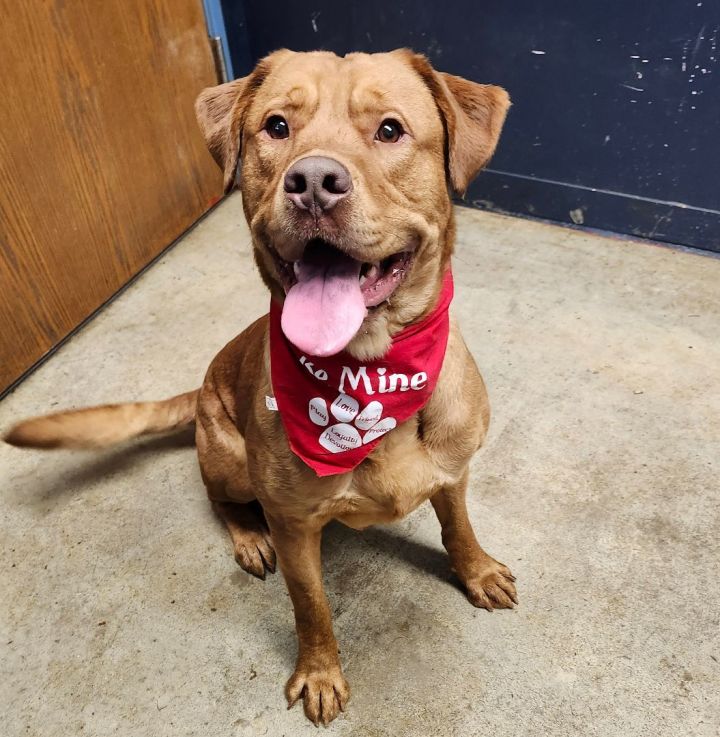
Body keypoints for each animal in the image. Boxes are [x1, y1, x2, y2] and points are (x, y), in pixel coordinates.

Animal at [2, 50, 516, 724]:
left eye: (389, 130)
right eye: (276, 127)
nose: (314, 182)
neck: (369, 371)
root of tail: (198, 391)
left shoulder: (453, 473)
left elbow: (458, 527)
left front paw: (476, 571)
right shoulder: (295, 526)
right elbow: (312, 606)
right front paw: (320, 673)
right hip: (228, 456)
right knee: (219, 498)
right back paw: (248, 538)